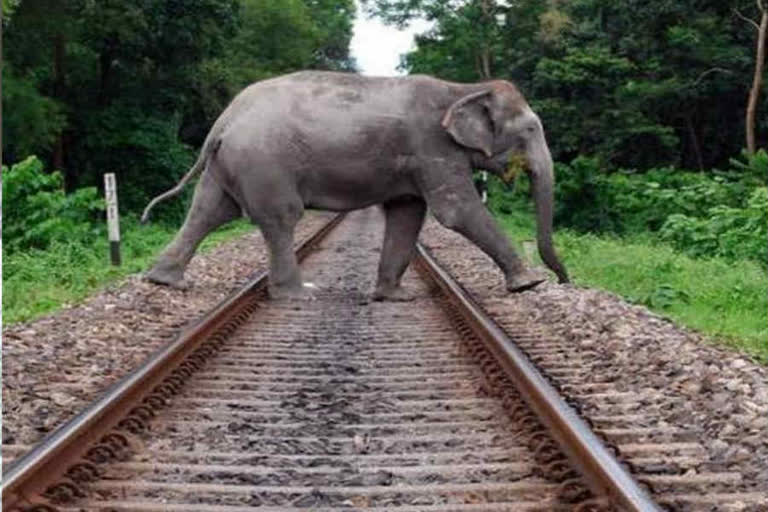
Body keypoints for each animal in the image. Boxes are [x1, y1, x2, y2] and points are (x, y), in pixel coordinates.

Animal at [141, 71, 569, 300]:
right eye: (531, 130)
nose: (565, 280)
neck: (462, 88)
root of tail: (225, 118)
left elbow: (407, 213)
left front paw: (393, 297)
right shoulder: (431, 146)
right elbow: (456, 212)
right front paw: (529, 283)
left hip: (231, 162)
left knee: (208, 211)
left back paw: (162, 280)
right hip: (264, 161)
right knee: (281, 217)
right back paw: (299, 294)